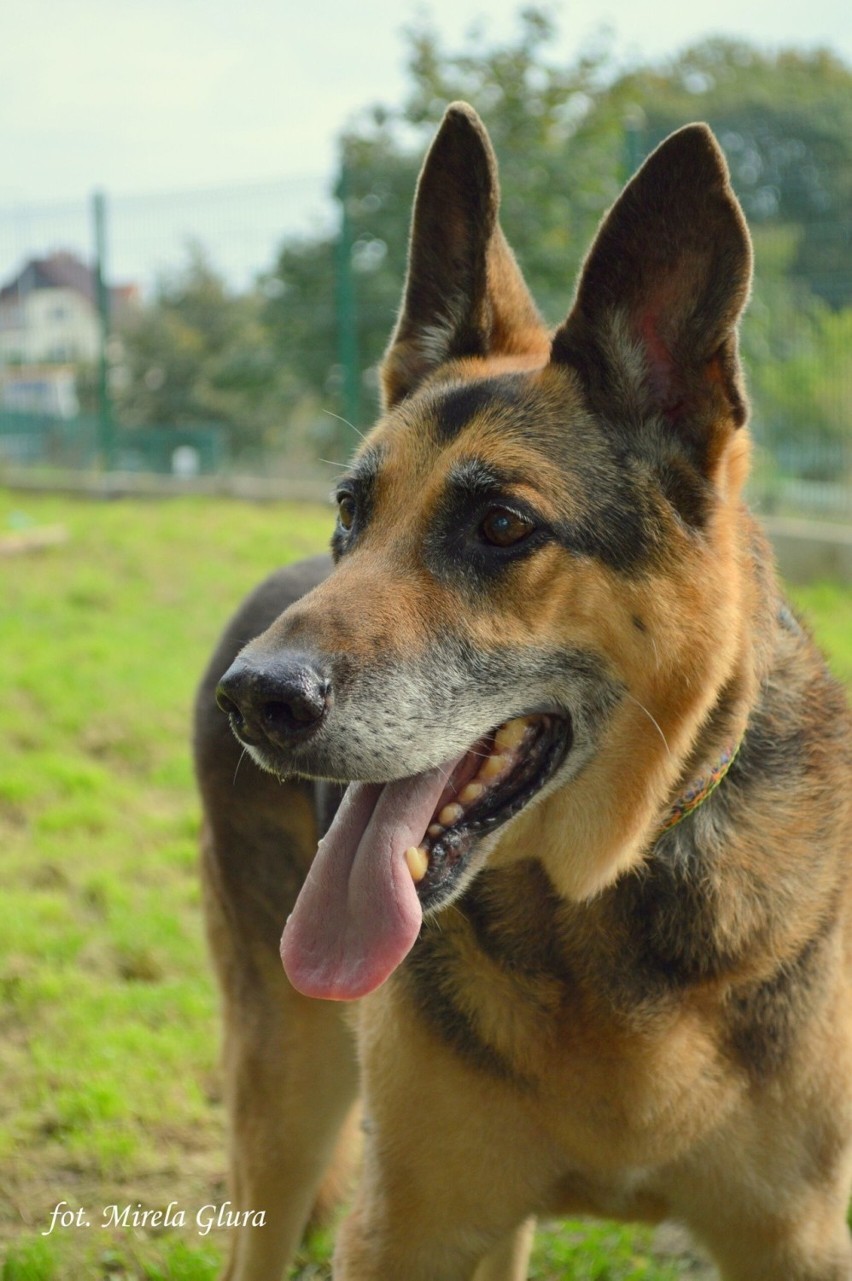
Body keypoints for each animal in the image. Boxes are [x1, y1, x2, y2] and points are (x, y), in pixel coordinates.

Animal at [196, 102, 850, 1281]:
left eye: (503, 525)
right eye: (352, 513)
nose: (253, 700)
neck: (600, 899)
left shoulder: (797, 1237)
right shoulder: (406, 1227)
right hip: (287, 1094)